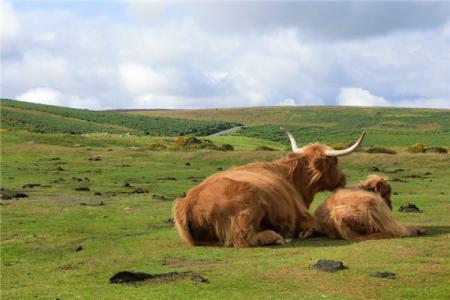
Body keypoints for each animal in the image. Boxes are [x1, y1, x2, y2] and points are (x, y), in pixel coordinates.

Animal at [172, 130, 366, 247]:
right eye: (336, 161)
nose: (343, 179)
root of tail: (189, 201)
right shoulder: (303, 216)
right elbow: (318, 226)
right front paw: (304, 232)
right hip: (248, 209)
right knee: (244, 238)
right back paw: (277, 237)